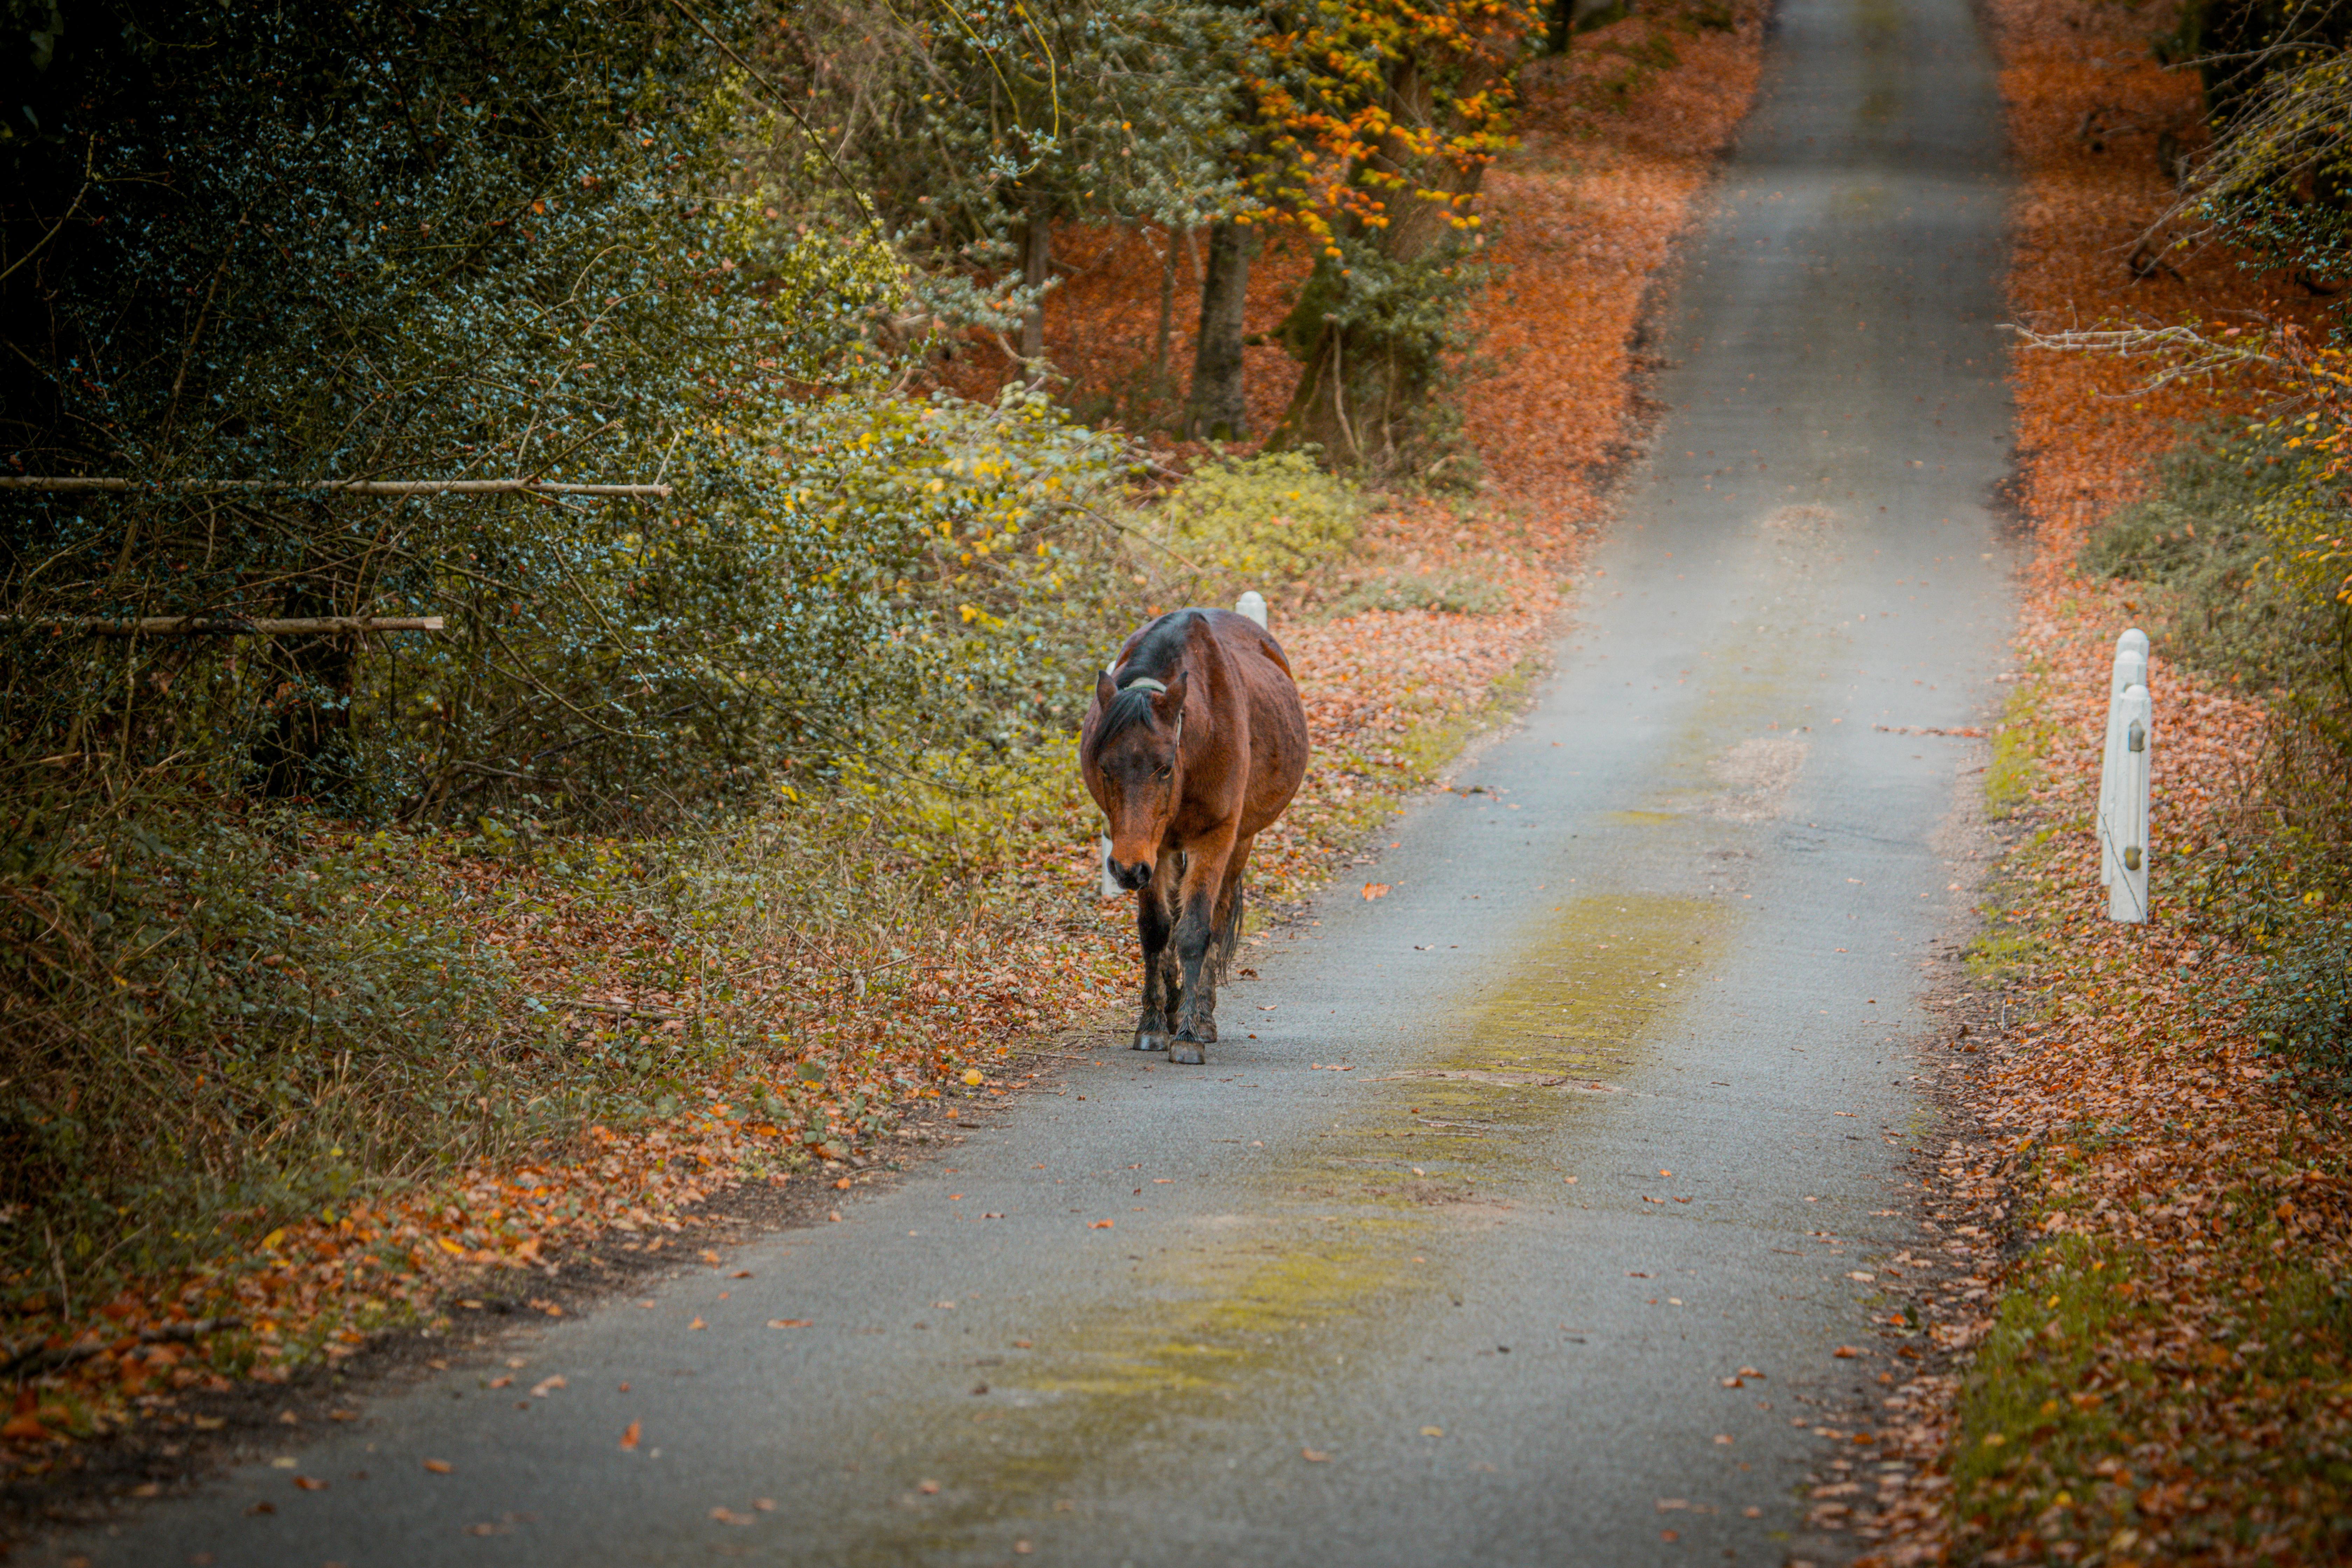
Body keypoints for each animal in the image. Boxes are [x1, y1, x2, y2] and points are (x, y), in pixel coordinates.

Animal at [1080, 607, 1309, 1064]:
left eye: (1165, 767)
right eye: (1105, 767)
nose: (1125, 868)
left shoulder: (1213, 839)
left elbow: (1196, 931)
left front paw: (1188, 1033)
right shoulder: (1153, 850)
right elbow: (1156, 929)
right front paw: (1153, 1024)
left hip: (1238, 842)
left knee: (1218, 919)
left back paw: (1201, 1014)